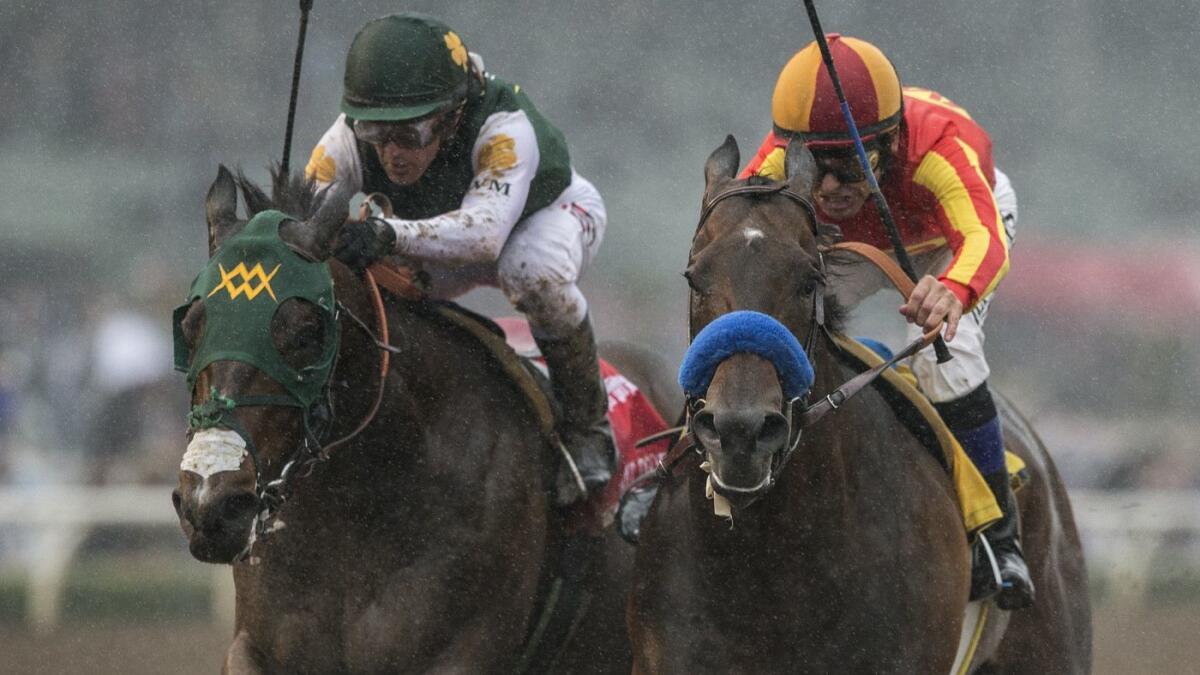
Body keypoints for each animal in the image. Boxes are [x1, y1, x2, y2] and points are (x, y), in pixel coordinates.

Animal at [170, 165, 652, 667]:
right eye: (188, 326)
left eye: (306, 333)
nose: (211, 505)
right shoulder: (255, 644)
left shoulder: (462, 651)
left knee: (537, 275)